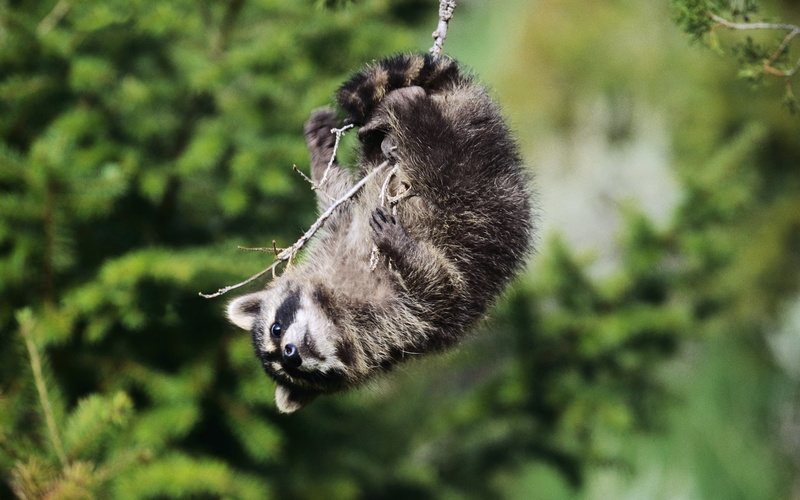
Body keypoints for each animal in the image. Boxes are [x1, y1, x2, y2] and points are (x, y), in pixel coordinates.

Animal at [227, 54, 534, 413]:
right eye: (292, 370)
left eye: (276, 329)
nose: (291, 354)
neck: (334, 311)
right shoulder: (405, 329)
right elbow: (440, 290)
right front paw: (406, 251)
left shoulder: (340, 237)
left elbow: (339, 198)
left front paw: (320, 155)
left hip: (470, 169)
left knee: (437, 156)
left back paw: (405, 106)